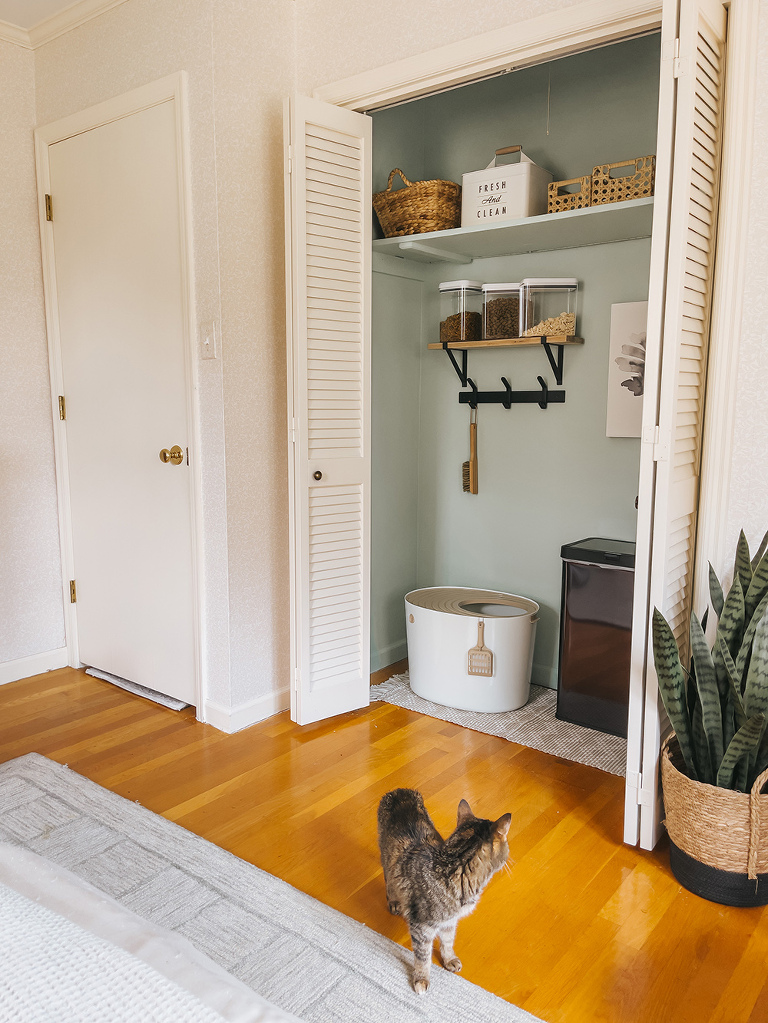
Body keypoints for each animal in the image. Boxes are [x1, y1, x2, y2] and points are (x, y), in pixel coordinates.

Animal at [376, 785, 511, 994]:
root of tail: (399, 790)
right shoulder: (421, 928)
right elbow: (423, 957)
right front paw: (421, 979)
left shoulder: (450, 921)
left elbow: (448, 942)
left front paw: (449, 960)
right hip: (386, 856)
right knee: (388, 877)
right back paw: (394, 901)